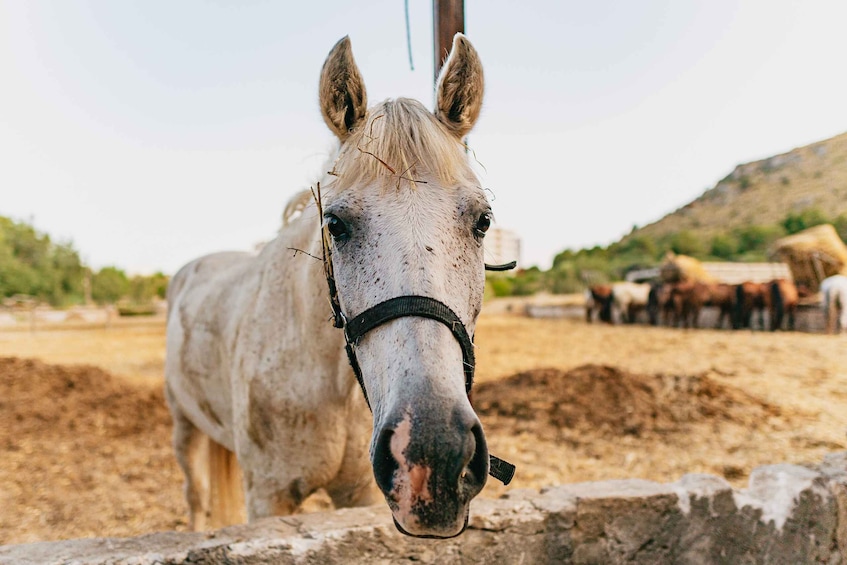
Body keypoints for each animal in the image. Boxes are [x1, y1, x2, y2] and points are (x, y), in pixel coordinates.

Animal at [165, 35, 496, 536]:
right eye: (335, 224)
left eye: (482, 221)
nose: (434, 455)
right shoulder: (269, 495)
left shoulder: (359, 495)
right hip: (185, 427)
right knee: (197, 497)